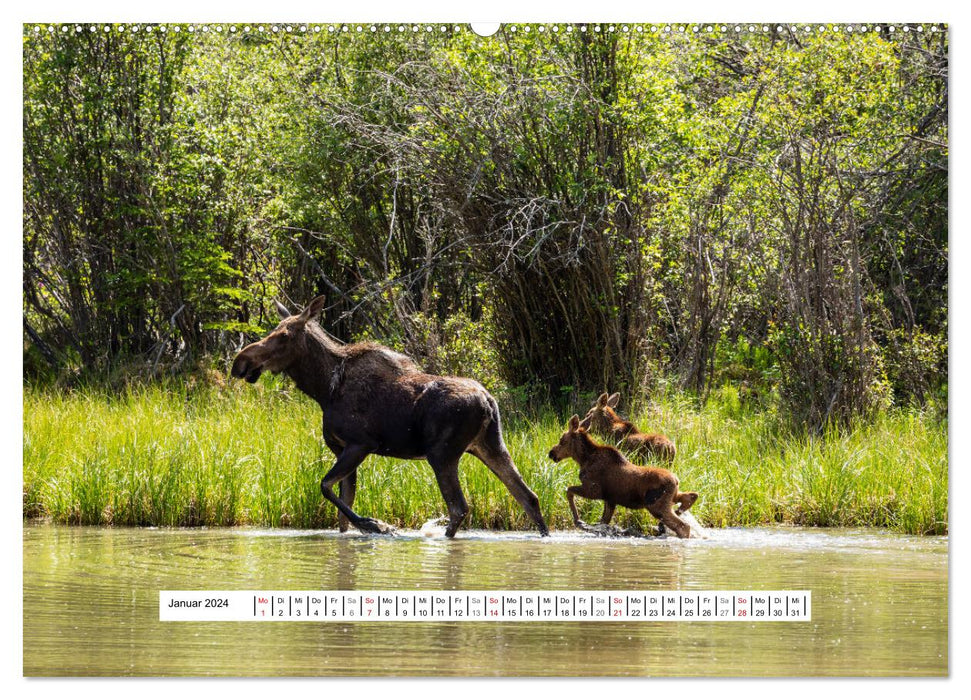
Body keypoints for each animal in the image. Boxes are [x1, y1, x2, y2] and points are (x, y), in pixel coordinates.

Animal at [228, 298, 548, 540]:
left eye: (283, 335)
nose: (240, 362)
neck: (323, 389)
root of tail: (488, 402)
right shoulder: (342, 448)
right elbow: (341, 510)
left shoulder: (360, 444)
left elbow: (325, 487)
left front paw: (376, 525)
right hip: (489, 445)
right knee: (528, 497)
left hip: (442, 454)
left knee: (459, 507)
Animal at [548, 418, 700, 540]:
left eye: (562, 441)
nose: (551, 453)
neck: (583, 459)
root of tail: (676, 480)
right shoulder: (610, 499)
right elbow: (603, 522)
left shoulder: (594, 490)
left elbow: (569, 490)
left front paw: (578, 520)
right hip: (670, 498)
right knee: (690, 496)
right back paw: (683, 507)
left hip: (656, 505)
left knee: (683, 526)